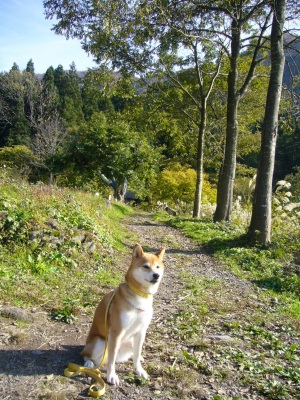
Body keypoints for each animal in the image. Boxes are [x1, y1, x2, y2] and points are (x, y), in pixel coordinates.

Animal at [81, 244, 165, 384]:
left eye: (158, 267)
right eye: (146, 266)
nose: (156, 275)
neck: (140, 296)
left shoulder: (141, 331)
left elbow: (136, 354)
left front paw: (139, 370)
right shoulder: (116, 332)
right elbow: (111, 360)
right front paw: (111, 376)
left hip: (130, 341)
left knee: (133, 353)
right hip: (100, 343)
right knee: (85, 354)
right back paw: (88, 363)